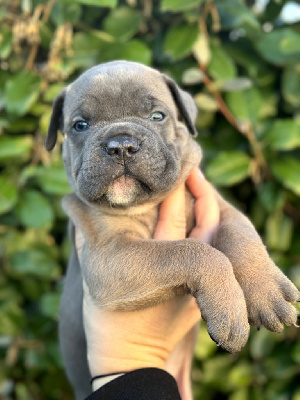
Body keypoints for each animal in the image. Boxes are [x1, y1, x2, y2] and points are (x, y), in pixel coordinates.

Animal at [45, 60, 298, 400]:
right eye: (80, 126)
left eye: (157, 116)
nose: (121, 145)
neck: (147, 205)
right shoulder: (107, 256)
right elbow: (194, 251)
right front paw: (229, 311)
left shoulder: (222, 209)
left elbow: (242, 236)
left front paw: (267, 293)